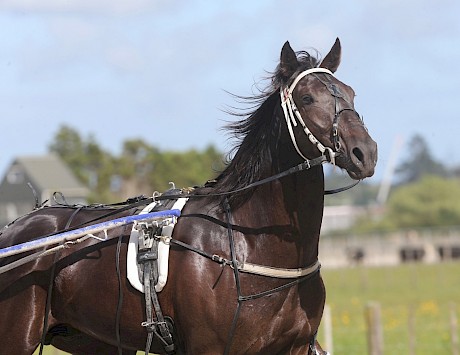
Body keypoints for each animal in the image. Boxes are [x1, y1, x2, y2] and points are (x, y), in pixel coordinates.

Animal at [0, 39, 378, 355]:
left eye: (352, 94)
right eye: (307, 98)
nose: (365, 153)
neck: (247, 241)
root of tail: (14, 229)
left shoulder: (294, 347)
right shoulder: (208, 347)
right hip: (17, 337)